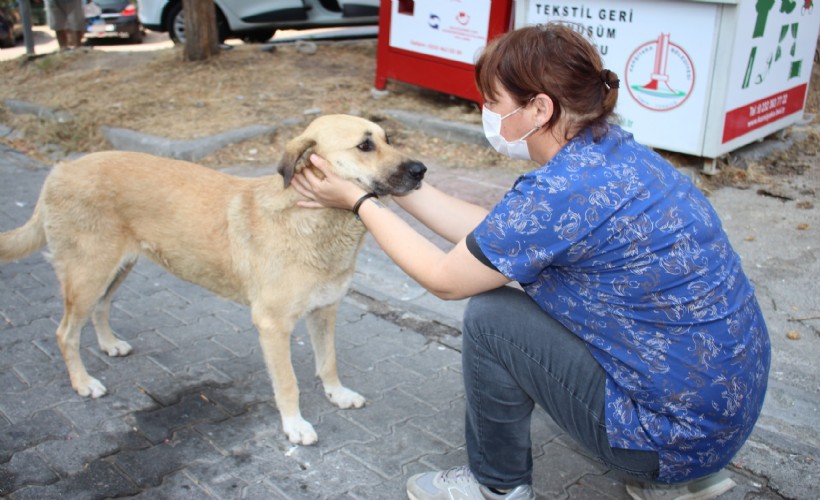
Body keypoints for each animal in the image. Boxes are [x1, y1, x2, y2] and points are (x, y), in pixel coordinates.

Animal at [0, 114, 422, 446]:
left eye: (388, 138)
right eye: (365, 145)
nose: (422, 171)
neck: (314, 219)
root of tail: (60, 169)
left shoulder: (325, 310)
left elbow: (328, 362)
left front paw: (337, 394)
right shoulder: (273, 326)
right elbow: (288, 383)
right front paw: (294, 425)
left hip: (116, 269)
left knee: (100, 309)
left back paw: (109, 344)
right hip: (88, 273)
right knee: (65, 332)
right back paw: (83, 382)